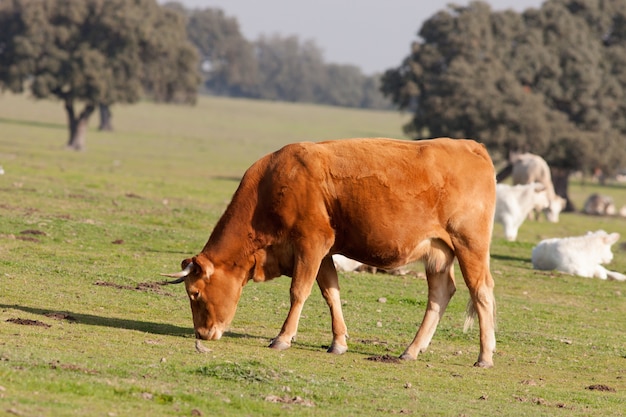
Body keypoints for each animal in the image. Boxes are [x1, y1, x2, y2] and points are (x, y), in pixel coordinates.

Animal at [162, 137, 498, 368]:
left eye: (195, 293)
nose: (202, 333)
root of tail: (471, 146)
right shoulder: (322, 253)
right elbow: (331, 293)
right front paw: (338, 342)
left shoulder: (311, 244)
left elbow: (299, 291)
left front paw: (282, 338)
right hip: (438, 253)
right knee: (440, 293)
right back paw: (411, 350)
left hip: (470, 244)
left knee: (481, 291)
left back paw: (484, 355)